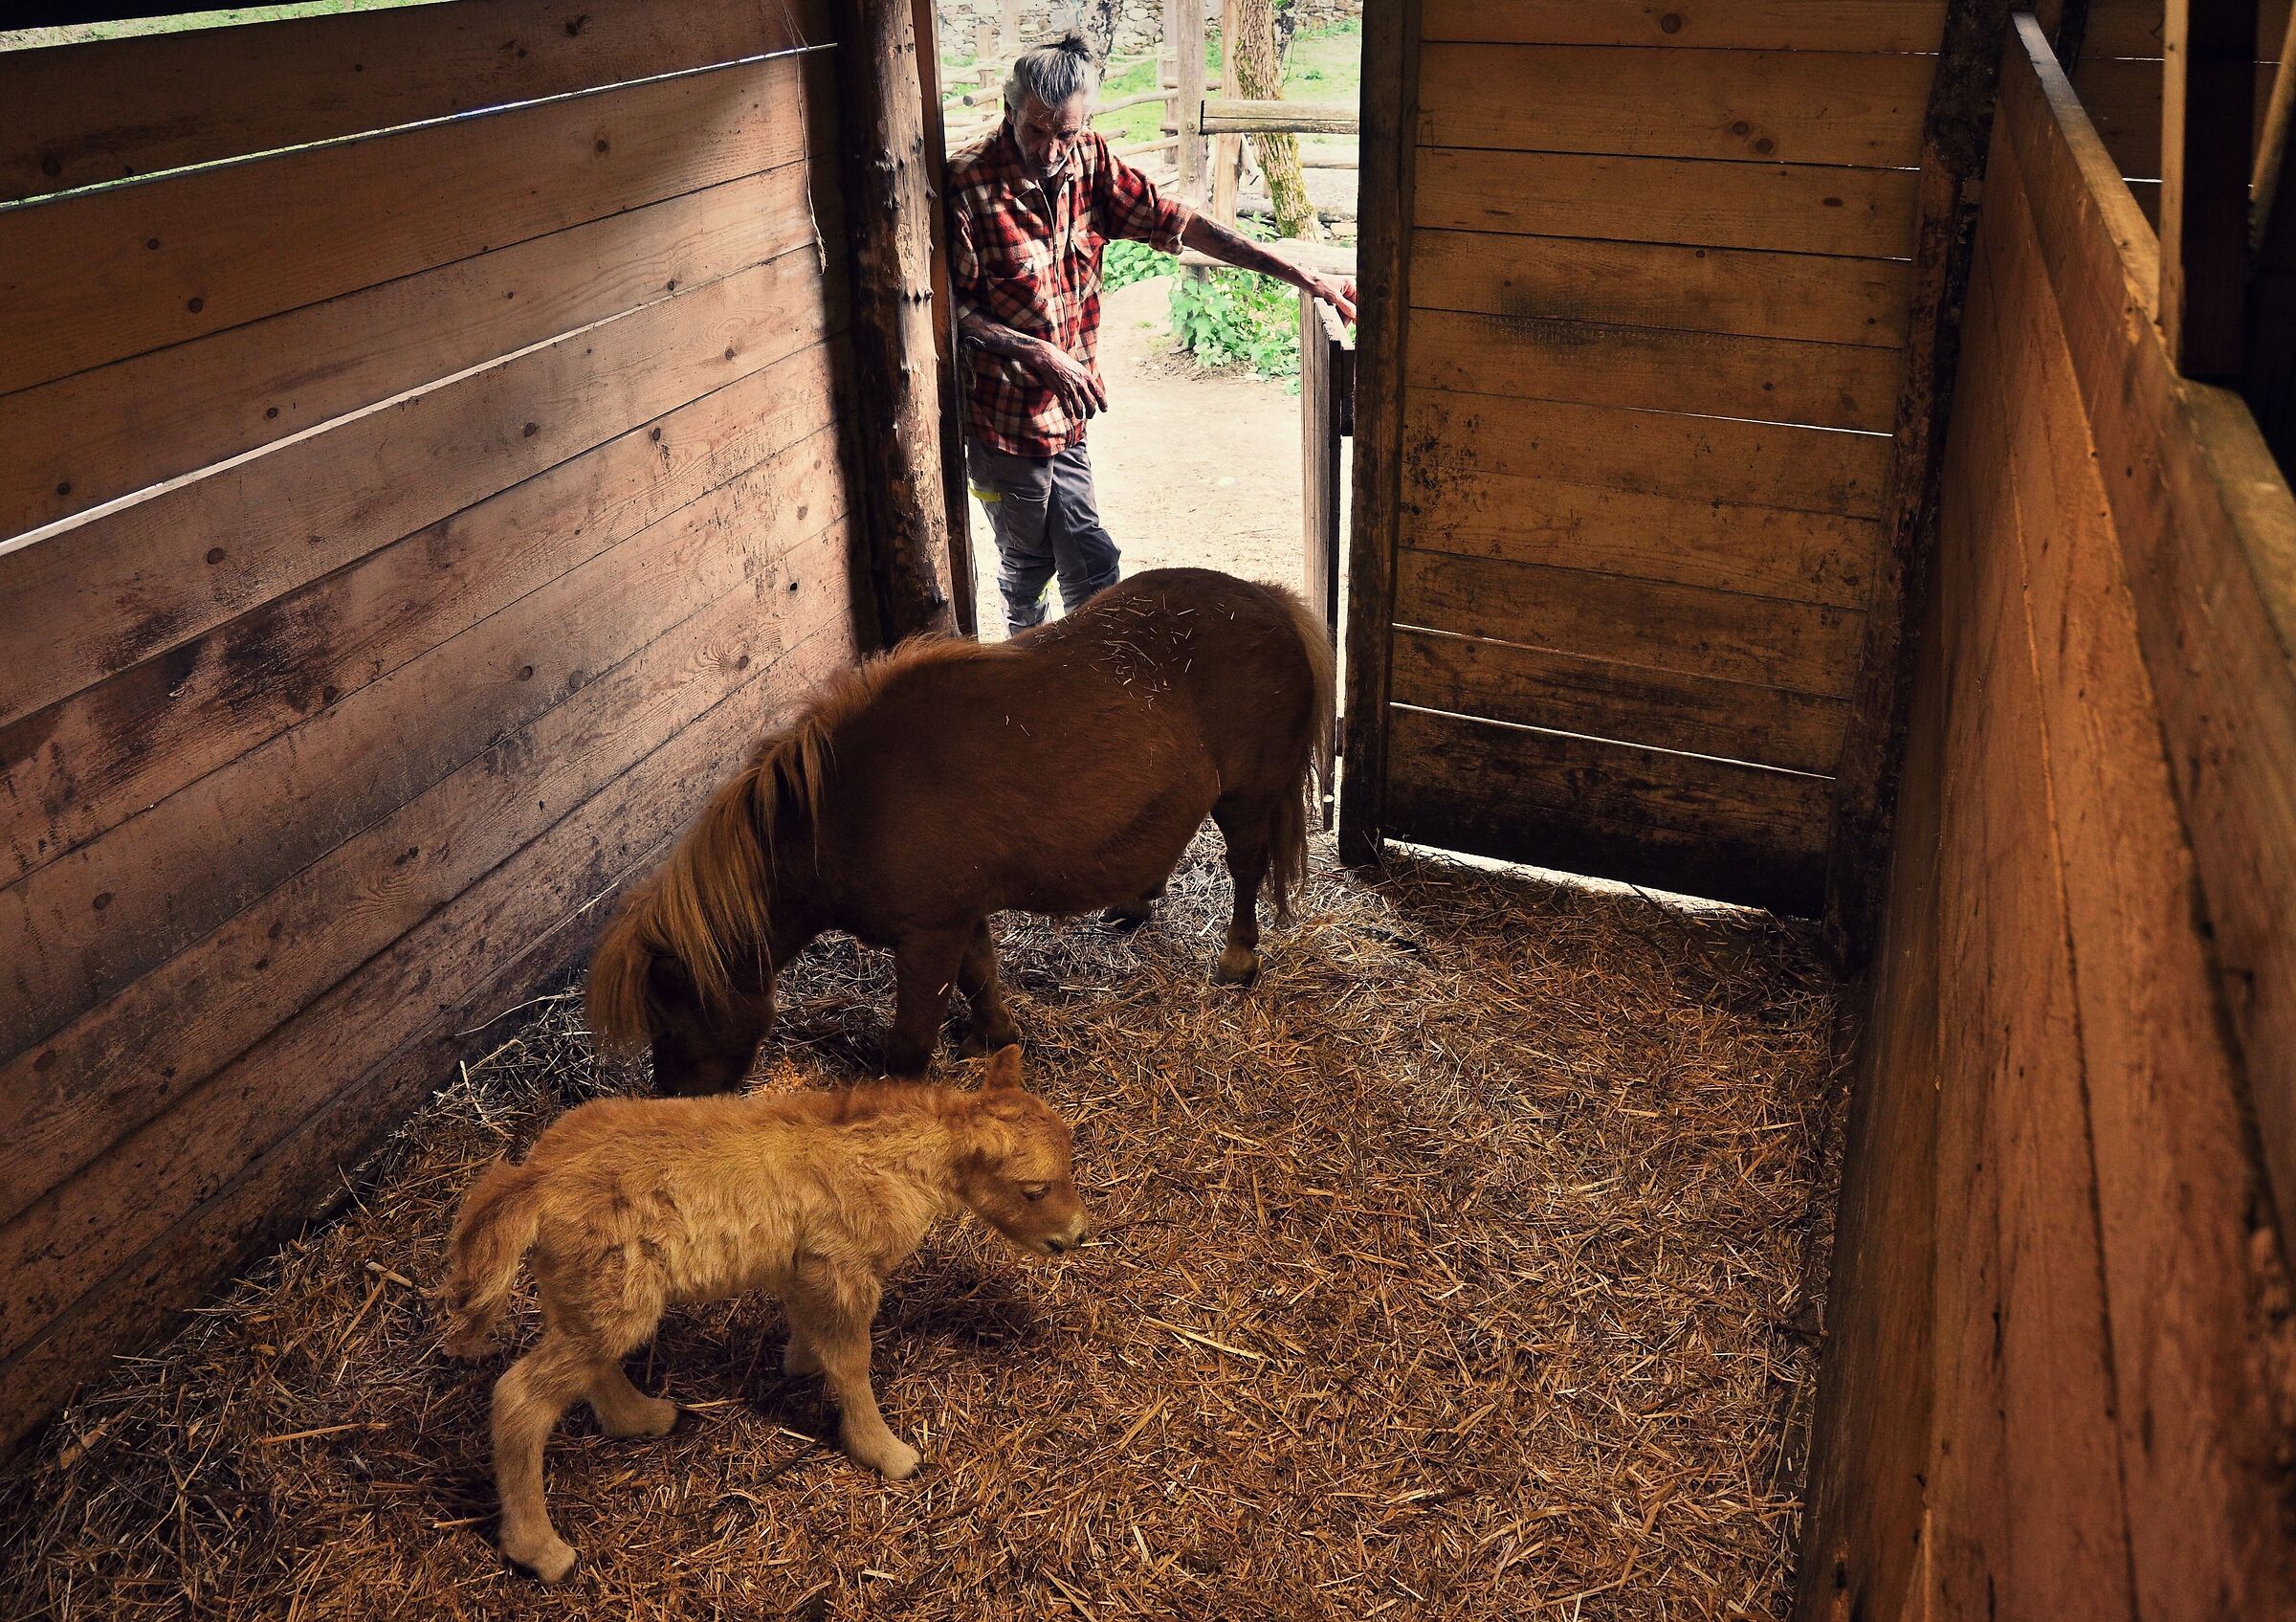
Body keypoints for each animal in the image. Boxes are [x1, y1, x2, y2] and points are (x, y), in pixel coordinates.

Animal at [440, 1044, 1089, 1583]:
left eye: (1069, 1164)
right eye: (1034, 1189)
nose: (1077, 1236)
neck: (891, 1164)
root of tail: (533, 1181)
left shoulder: (807, 1265)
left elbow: (814, 1334)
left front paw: (800, 1363)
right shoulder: (843, 1266)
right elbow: (852, 1362)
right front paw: (885, 1452)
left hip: (587, 1294)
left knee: (588, 1364)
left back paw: (641, 1418)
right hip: (607, 1297)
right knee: (520, 1399)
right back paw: (541, 1550)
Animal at [586, 567, 1335, 1093]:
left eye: (671, 1016)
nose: (674, 1096)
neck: (848, 807)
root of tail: (1271, 601)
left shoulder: (927, 937)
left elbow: (909, 1043)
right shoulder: (959, 917)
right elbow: (980, 978)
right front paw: (995, 1038)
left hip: (1246, 801)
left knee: (1246, 871)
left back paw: (1238, 959)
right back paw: (1134, 904)